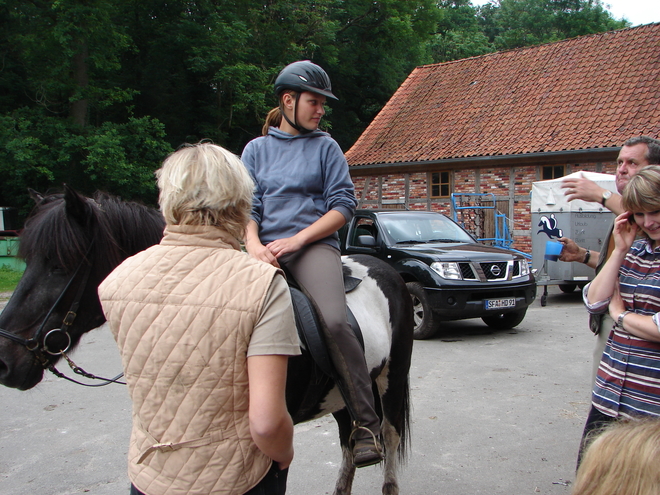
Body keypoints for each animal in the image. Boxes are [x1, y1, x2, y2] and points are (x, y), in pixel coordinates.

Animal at [0, 186, 412, 495]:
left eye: (59, 265)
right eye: (28, 261)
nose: (5, 360)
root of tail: (388, 270)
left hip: (391, 382)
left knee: (389, 439)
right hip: (341, 392)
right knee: (350, 444)